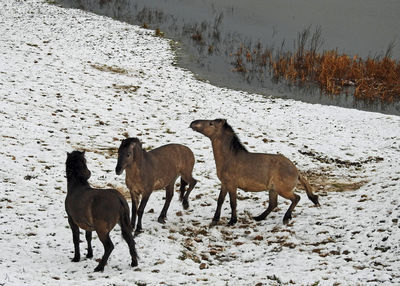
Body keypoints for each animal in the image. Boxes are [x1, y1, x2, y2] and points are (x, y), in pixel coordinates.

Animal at [189, 118, 320, 226]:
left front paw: (232, 221)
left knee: (296, 198)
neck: (230, 158)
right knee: (273, 204)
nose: (192, 123)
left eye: (211, 123)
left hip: (282, 190)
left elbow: (233, 203)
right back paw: (259, 217)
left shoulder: (232, 185)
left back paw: (286, 218)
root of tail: (296, 171)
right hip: (273, 190)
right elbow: (220, 201)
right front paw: (215, 220)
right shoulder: (224, 184)